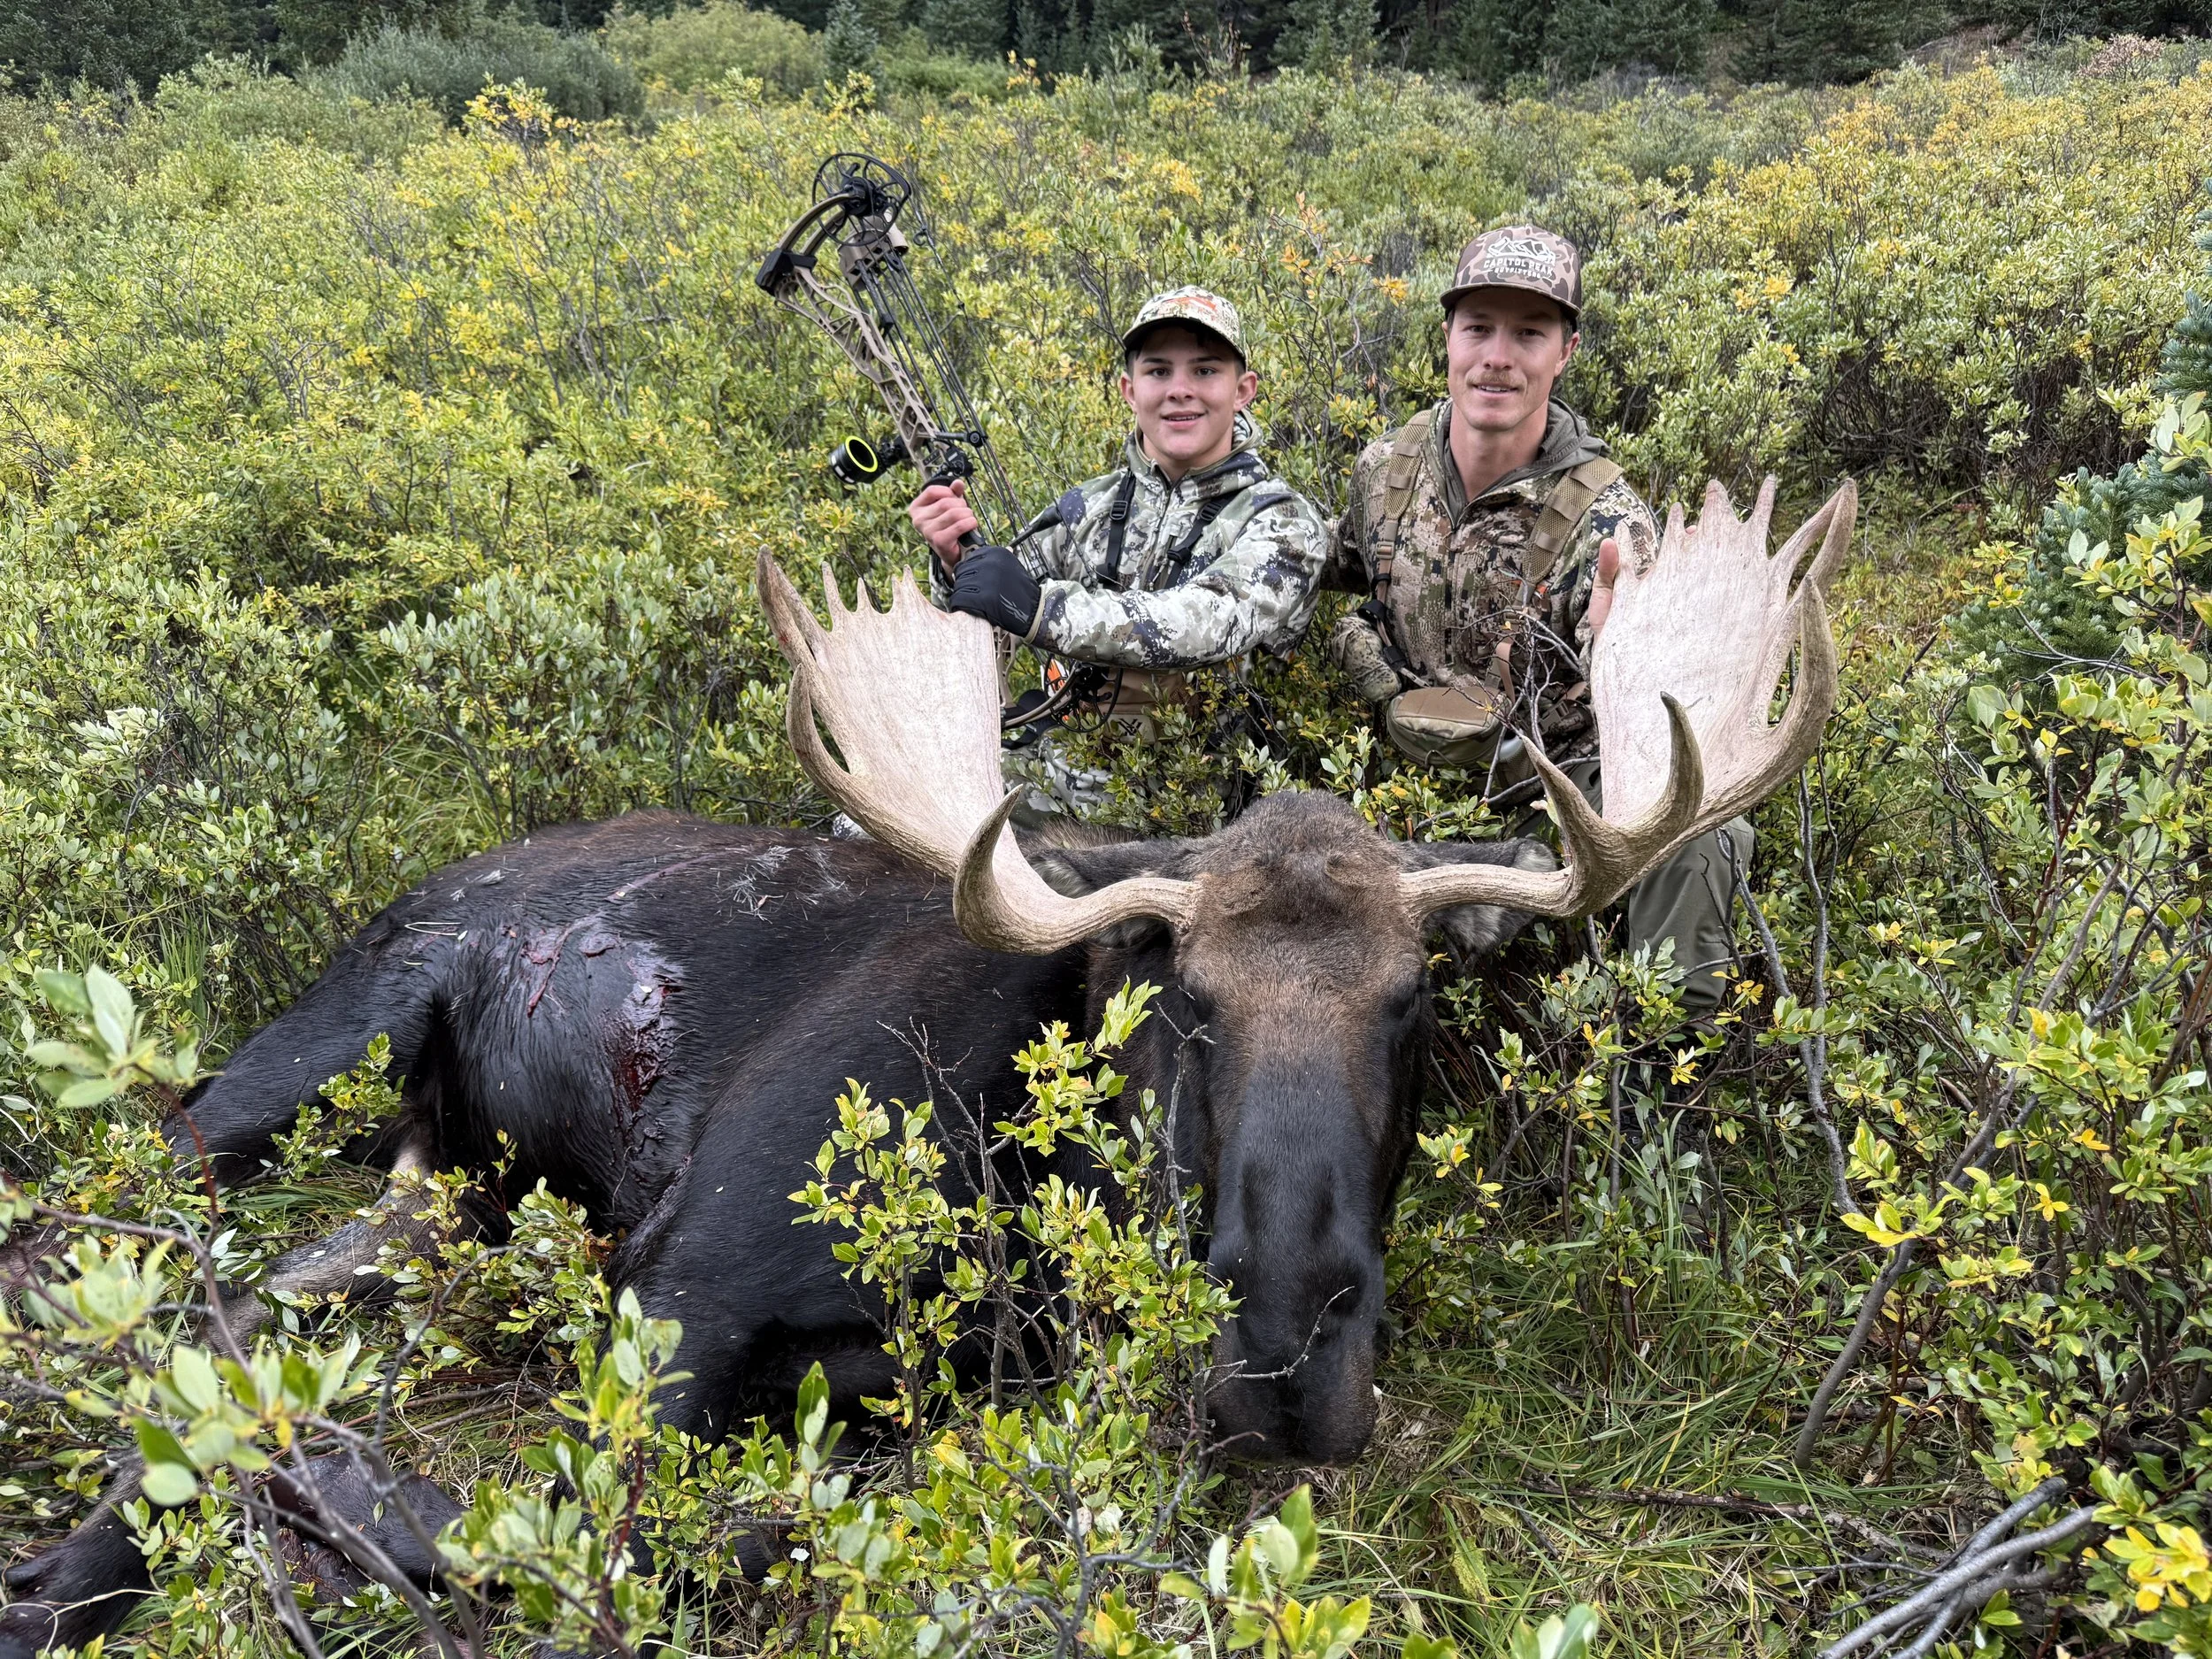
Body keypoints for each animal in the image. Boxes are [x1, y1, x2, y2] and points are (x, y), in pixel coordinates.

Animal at [0, 481, 1851, 1658]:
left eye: (1410, 1004)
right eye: (1184, 1000)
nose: (1283, 1340)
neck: (1016, 1194)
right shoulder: (671, 1280)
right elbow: (617, 1539)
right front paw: (171, 1524)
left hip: (435, 1202)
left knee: (280, 1280)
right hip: (322, 1046)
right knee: (103, 1226)